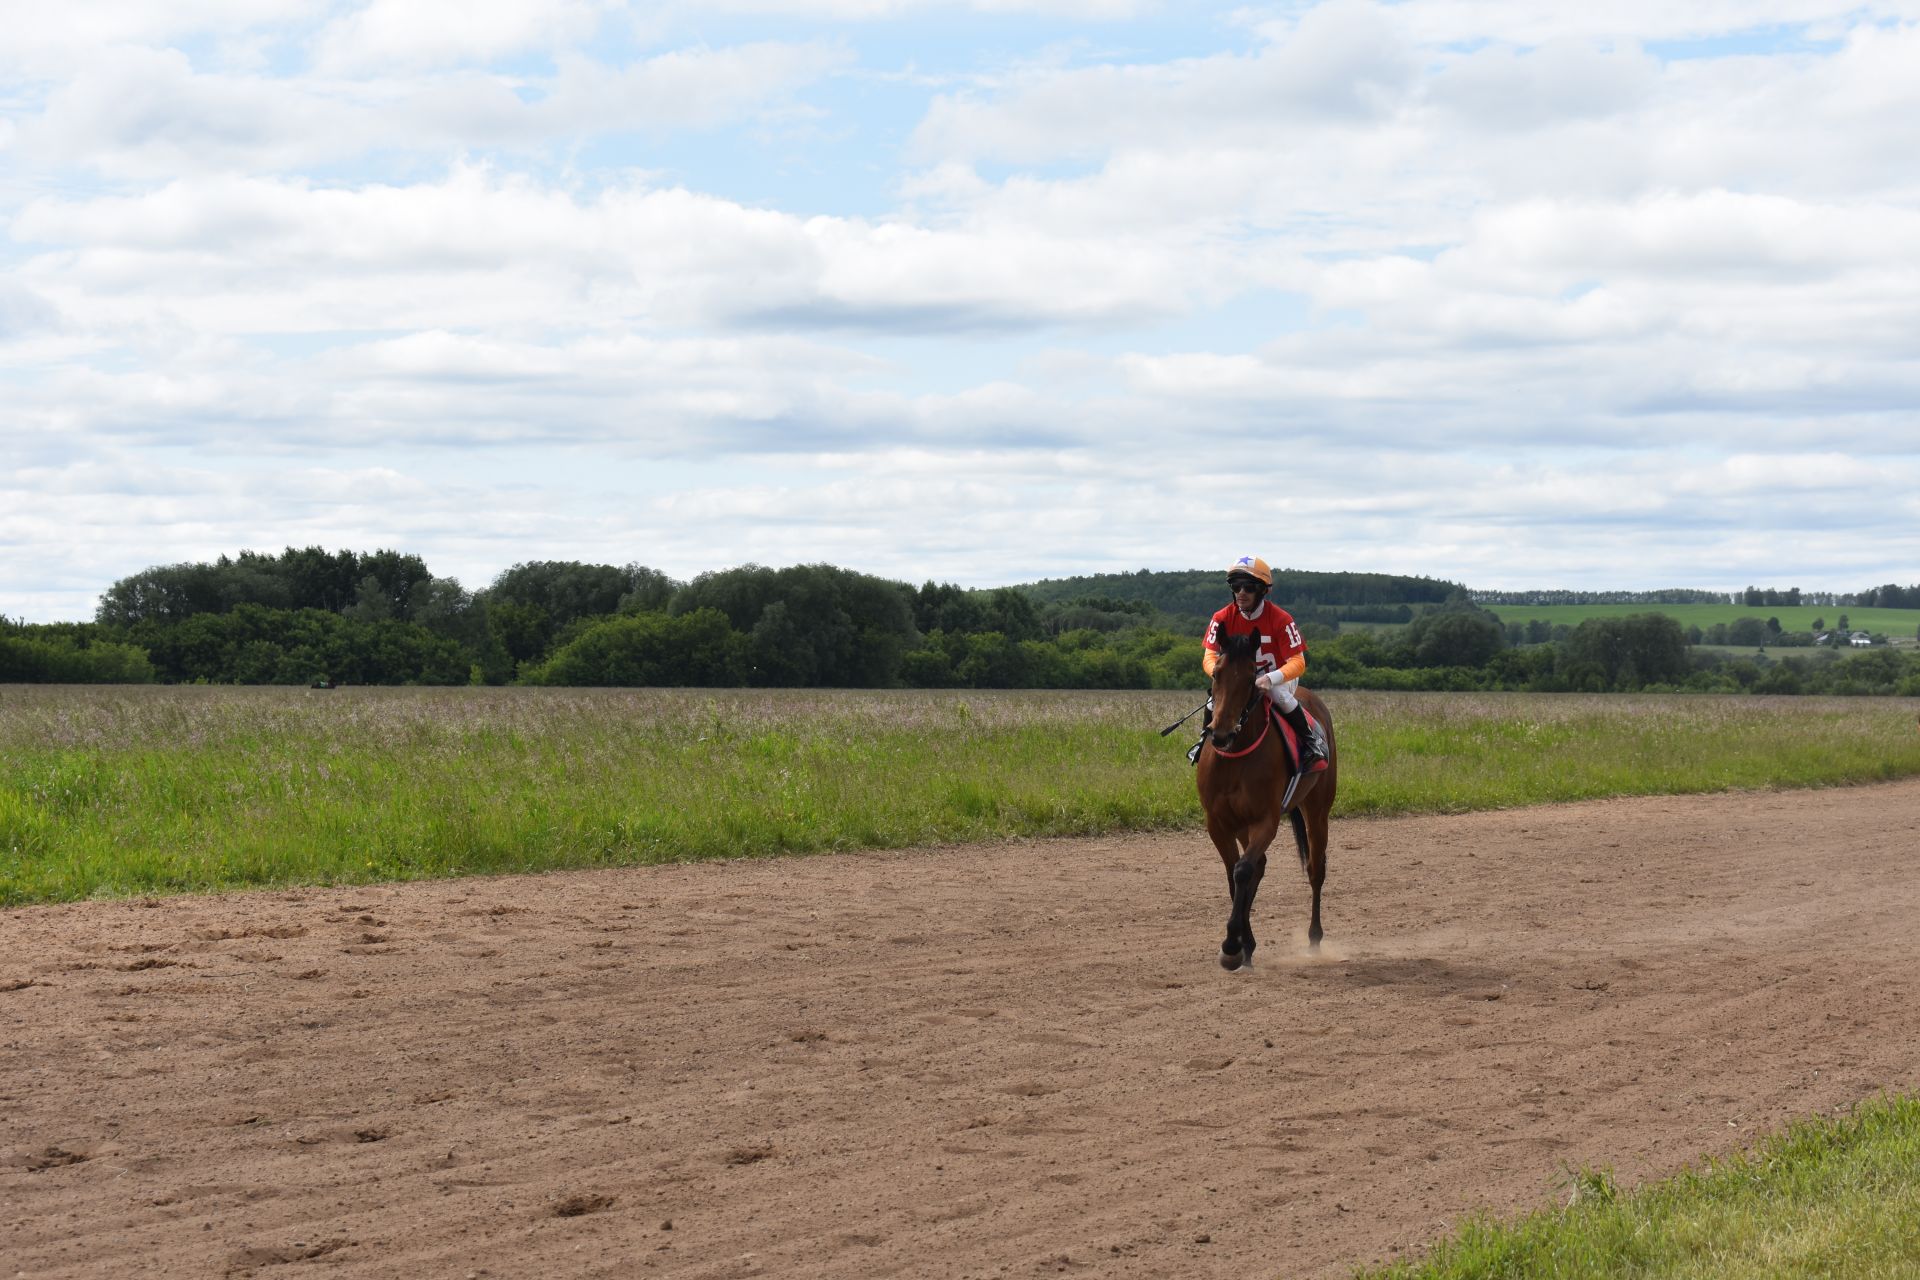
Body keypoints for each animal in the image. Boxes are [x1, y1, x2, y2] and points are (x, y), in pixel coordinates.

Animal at [1190, 629, 1344, 971]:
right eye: (1216, 674)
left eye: (1251, 678)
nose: (1220, 734)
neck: (1234, 757)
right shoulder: (1218, 823)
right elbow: (1235, 874)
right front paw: (1240, 944)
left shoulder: (1266, 820)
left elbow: (1242, 871)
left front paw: (1231, 945)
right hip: (1243, 825)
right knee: (1257, 866)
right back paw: (1249, 945)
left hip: (1318, 809)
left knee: (1315, 868)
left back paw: (1314, 939)